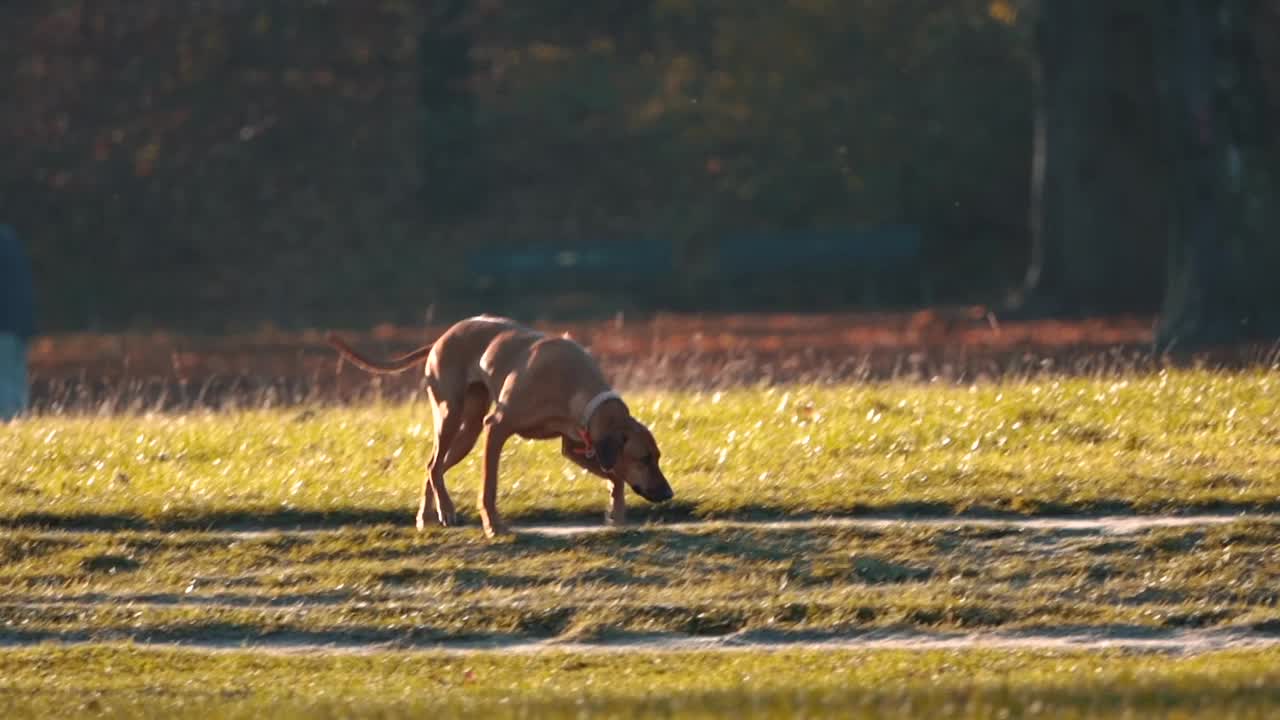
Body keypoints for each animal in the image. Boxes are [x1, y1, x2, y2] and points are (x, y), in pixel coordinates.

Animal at [325, 313, 675, 532]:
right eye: (645, 458)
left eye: (658, 457)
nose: (668, 494)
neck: (575, 386)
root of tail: (440, 339)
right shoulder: (497, 428)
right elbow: (489, 487)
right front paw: (493, 524)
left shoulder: (578, 445)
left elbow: (615, 475)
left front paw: (616, 513)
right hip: (451, 415)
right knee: (434, 465)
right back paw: (446, 510)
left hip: (468, 432)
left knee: (432, 466)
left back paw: (428, 515)